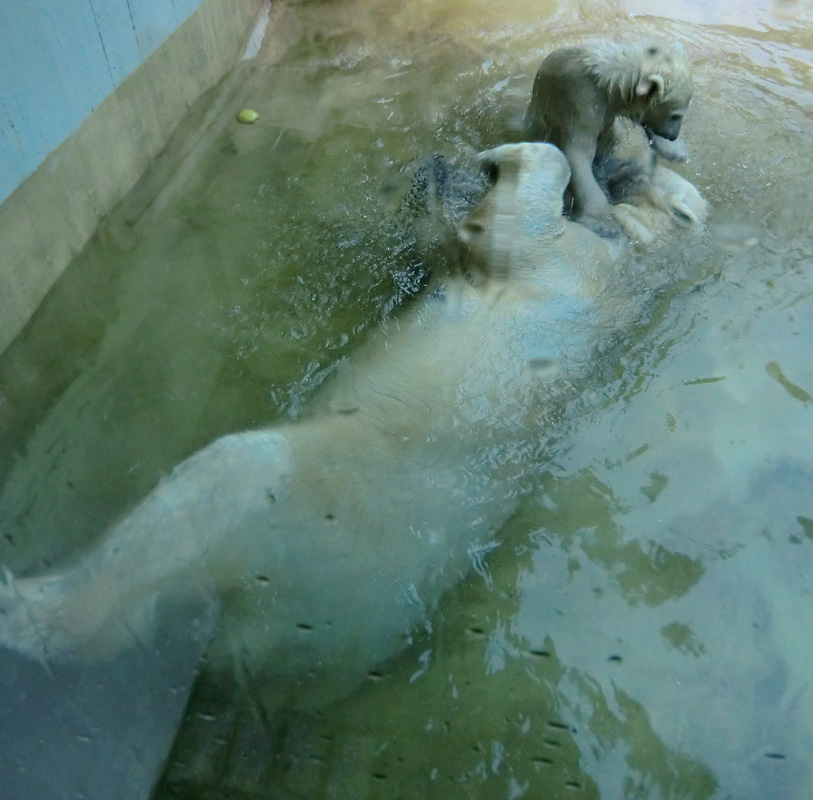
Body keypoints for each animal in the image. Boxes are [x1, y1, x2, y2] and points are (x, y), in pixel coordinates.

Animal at [0, 142, 704, 708]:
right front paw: (441, 177)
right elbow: (447, 249)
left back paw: (29, 607)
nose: (628, 155)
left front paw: (501, 158)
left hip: (318, 527)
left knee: (219, 488)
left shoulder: (579, 267)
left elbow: (516, 220)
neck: (641, 266)